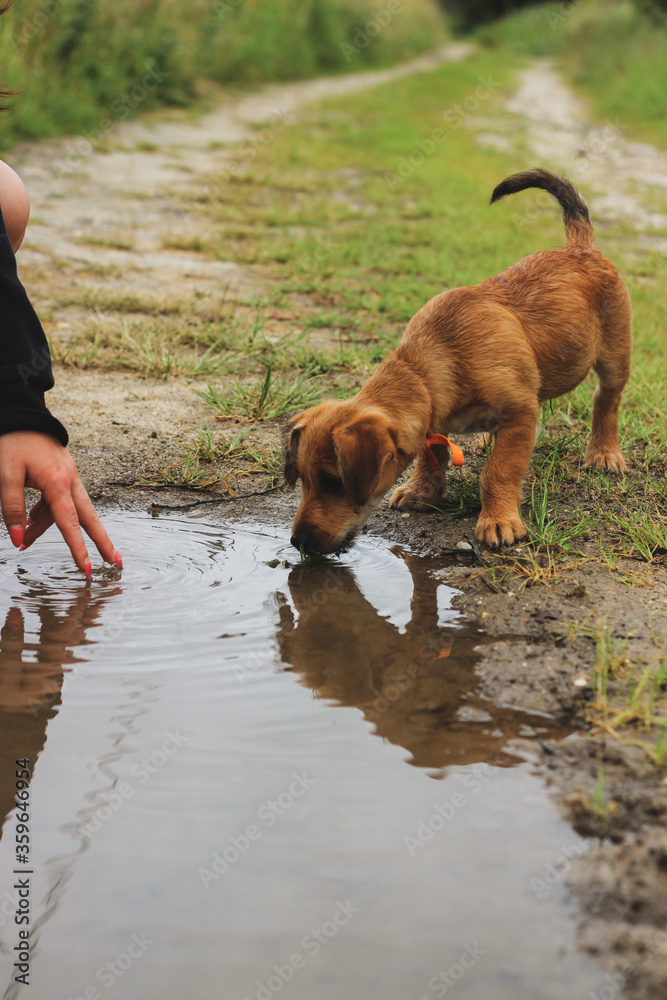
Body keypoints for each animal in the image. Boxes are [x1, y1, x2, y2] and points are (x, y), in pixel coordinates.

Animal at [284, 168, 636, 552]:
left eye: (333, 482)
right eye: (303, 479)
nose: (298, 541)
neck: (428, 367)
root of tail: (580, 248)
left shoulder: (519, 413)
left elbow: (498, 471)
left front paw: (498, 520)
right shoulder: (437, 421)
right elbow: (431, 455)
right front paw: (423, 491)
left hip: (615, 356)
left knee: (606, 399)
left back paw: (603, 452)